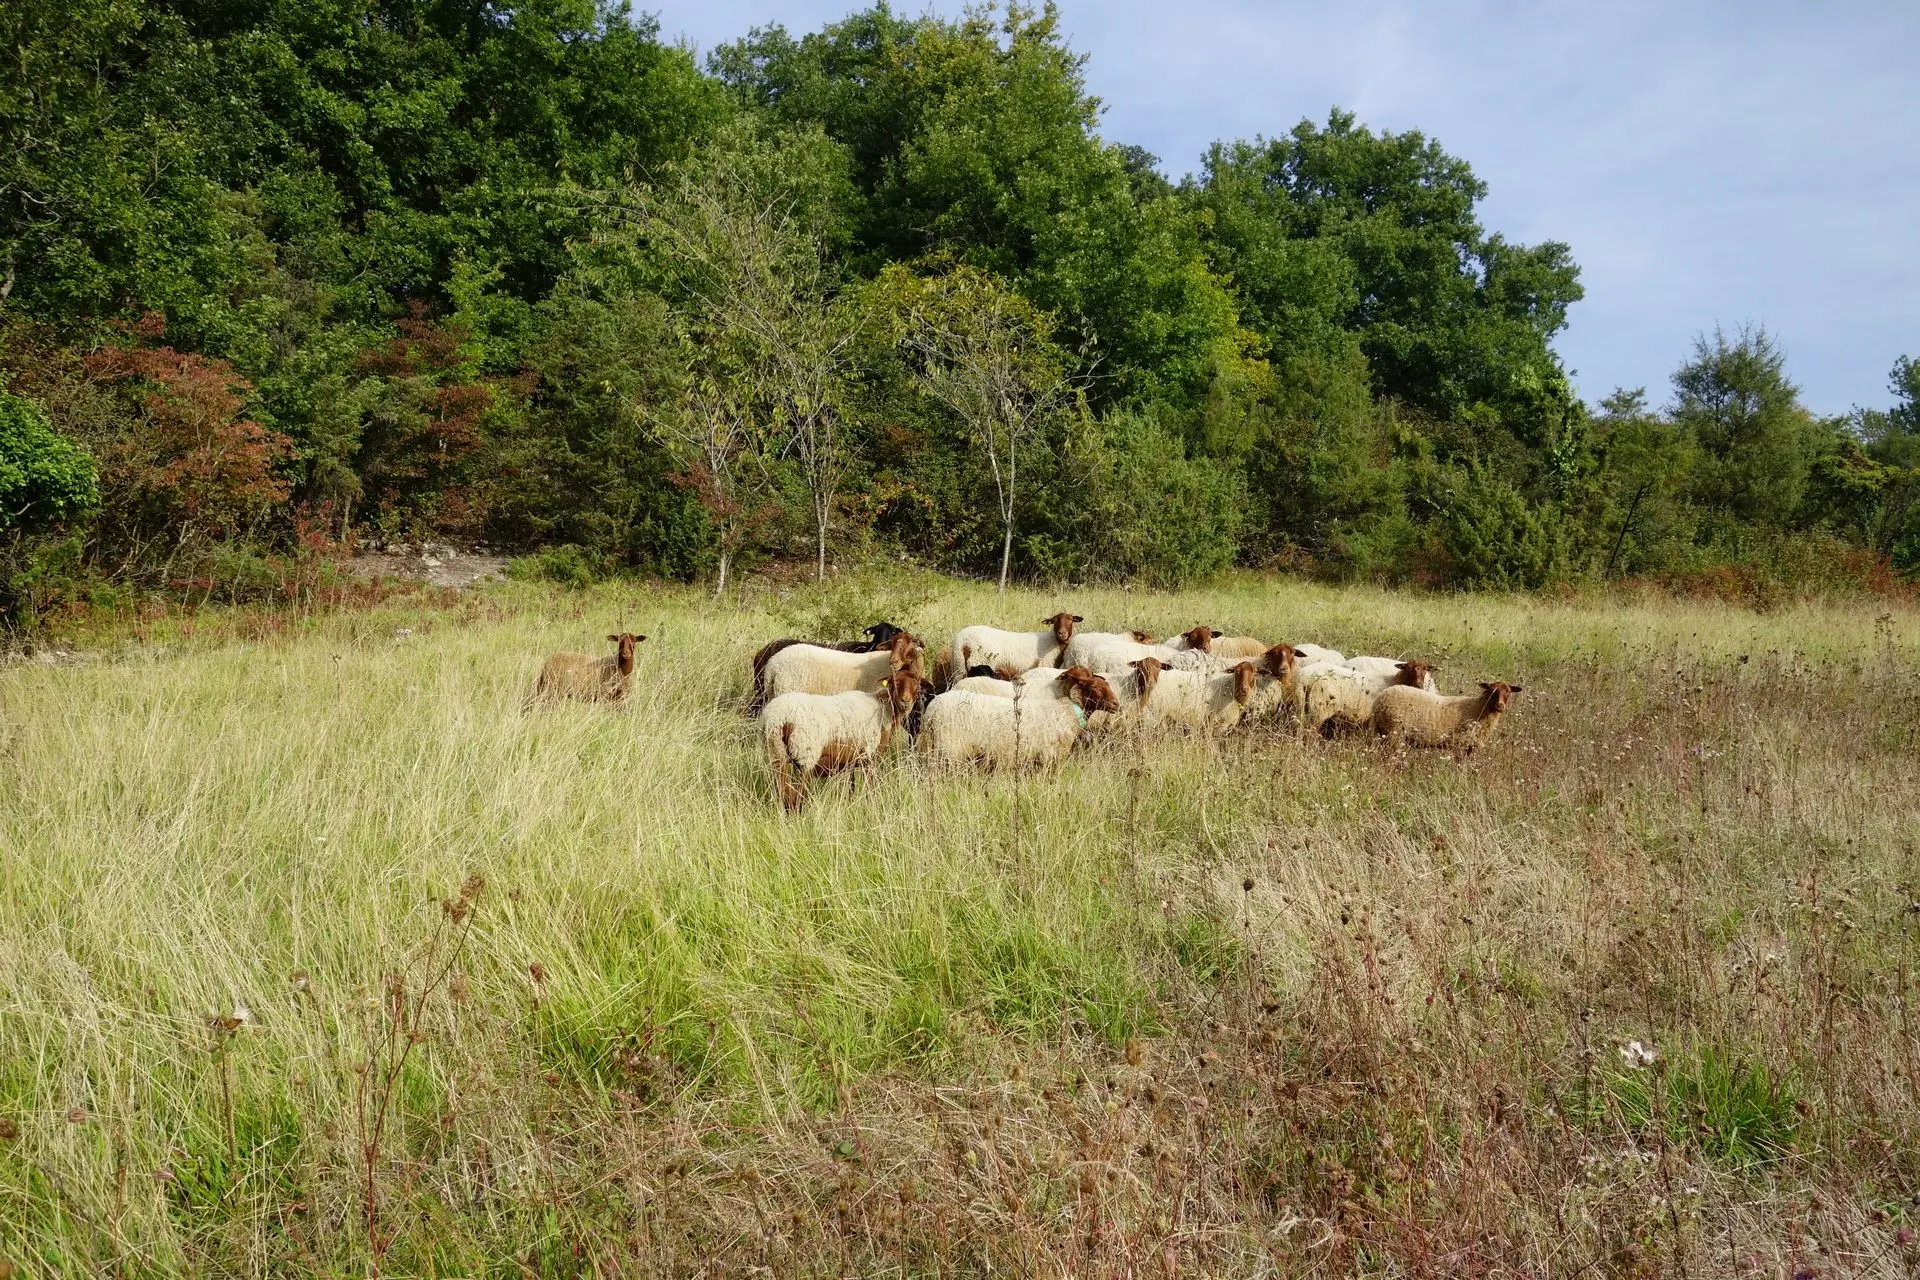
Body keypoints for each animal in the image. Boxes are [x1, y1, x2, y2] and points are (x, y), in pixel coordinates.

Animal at [762, 668, 924, 811]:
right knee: (796, 795)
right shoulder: (868, 755)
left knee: (784, 790)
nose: (905, 702)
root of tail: (779, 718)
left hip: (776, 752)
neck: (884, 709)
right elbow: (870, 788)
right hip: (806, 754)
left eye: (916, 683)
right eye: (895, 682)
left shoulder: (850, 758)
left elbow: (851, 786)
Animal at [947, 612, 1082, 679]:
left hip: (958, 667)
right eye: (1054, 621)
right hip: (978, 661)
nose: (1062, 633)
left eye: (1071, 620)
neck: (1053, 641)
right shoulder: (1044, 664)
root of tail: (962, 639)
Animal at [1372, 681, 1523, 749]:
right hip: (1395, 732)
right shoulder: (1462, 742)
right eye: (1492, 691)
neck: (1480, 708)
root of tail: (1380, 699)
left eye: (1509, 692)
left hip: (1381, 730)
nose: (1500, 706)